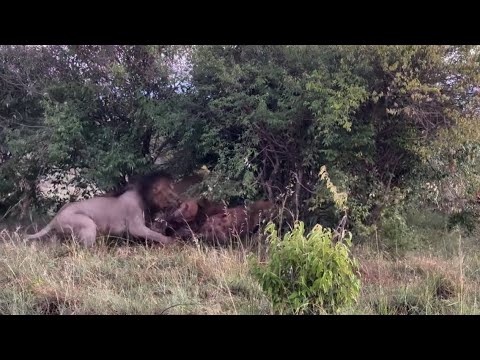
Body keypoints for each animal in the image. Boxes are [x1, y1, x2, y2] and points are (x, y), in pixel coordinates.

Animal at [25, 172, 181, 248]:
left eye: (174, 190)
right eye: (170, 193)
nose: (179, 200)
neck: (144, 197)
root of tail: (55, 218)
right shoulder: (136, 225)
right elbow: (155, 235)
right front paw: (171, 241)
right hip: (87, 224)